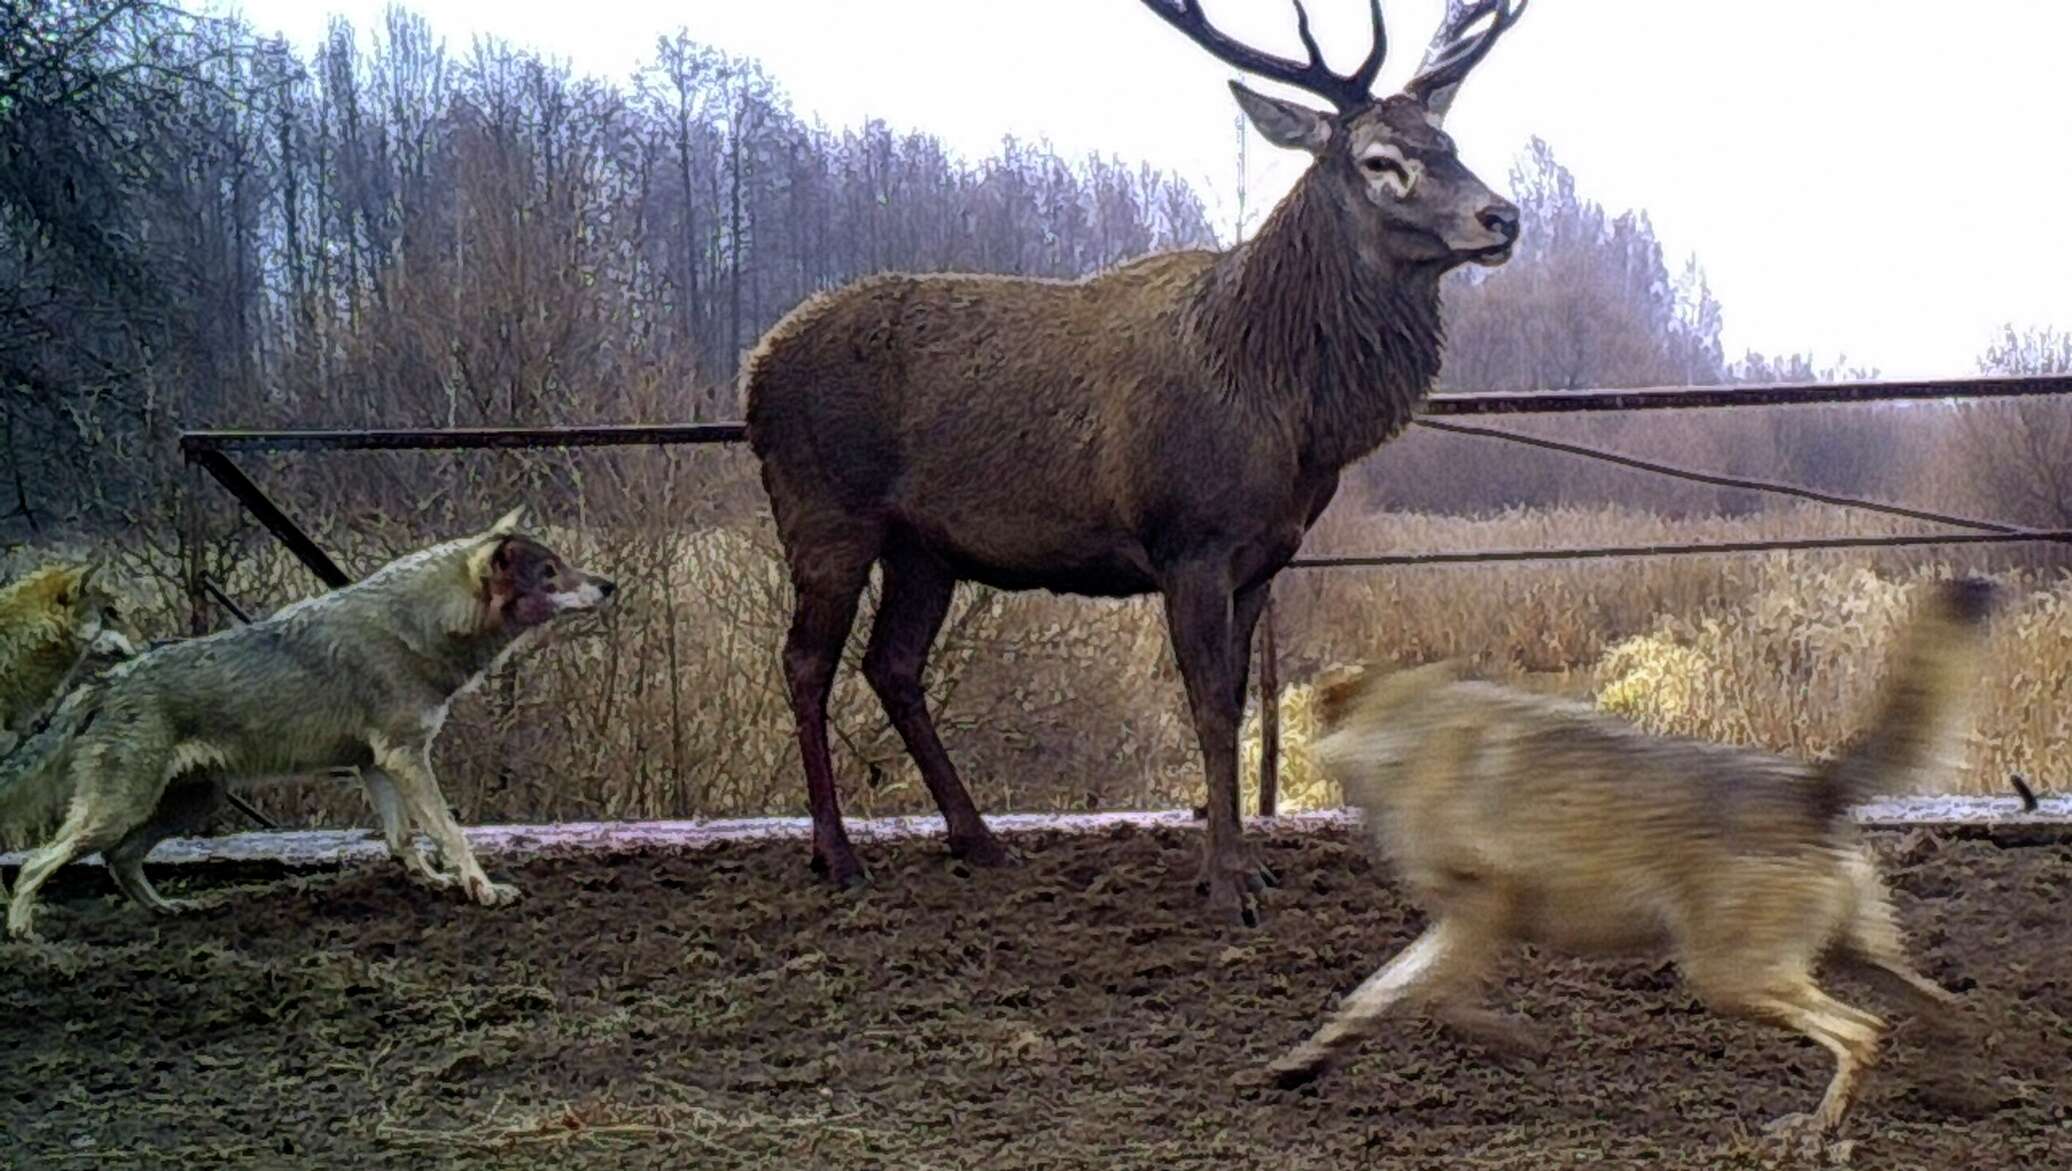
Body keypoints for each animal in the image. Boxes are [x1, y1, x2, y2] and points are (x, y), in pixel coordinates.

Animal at [0, 507, 613, 936]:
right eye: (551, 571)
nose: (610, 585)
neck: (422, 627)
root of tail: (103, 684)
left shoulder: (377, 766)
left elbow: (403, 838)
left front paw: (431, 881)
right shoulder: (406, 758)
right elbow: (450, 832)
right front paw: (482, 890)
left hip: (188, 804)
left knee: (119, 860)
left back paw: (169, 909)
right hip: (123, 809)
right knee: (39, 863)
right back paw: (26, 934)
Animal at [1268, 576, 1997, 1152]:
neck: (1406, 731)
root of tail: (1813, 785)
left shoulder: (1481, 909)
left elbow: (1438, 999)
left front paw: (1514, 1039)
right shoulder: (1453, 921)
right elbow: (1370, 997)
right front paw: (1303, 1063)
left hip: (1731, 976)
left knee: (1863, 1032)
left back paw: (1817, 1131)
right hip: (1846, 955)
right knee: (1941, 1008)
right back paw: (1956, 1094)